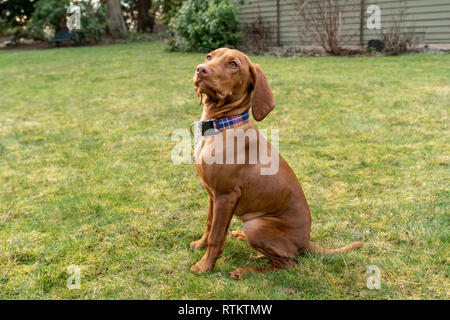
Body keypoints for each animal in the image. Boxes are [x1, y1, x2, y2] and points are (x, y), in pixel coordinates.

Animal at [190, 46, 362, 278]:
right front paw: (200, 245)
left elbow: (216, 237)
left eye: (233, 64)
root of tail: (306, 242)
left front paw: (204, 266)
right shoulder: (212, 194)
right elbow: (209, 224)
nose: (200, 69)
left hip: (257, 225)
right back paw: (240, 237)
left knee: (288, 263)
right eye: (209, 56)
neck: (223, 125)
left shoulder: (225, 195)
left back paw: (245, 271)